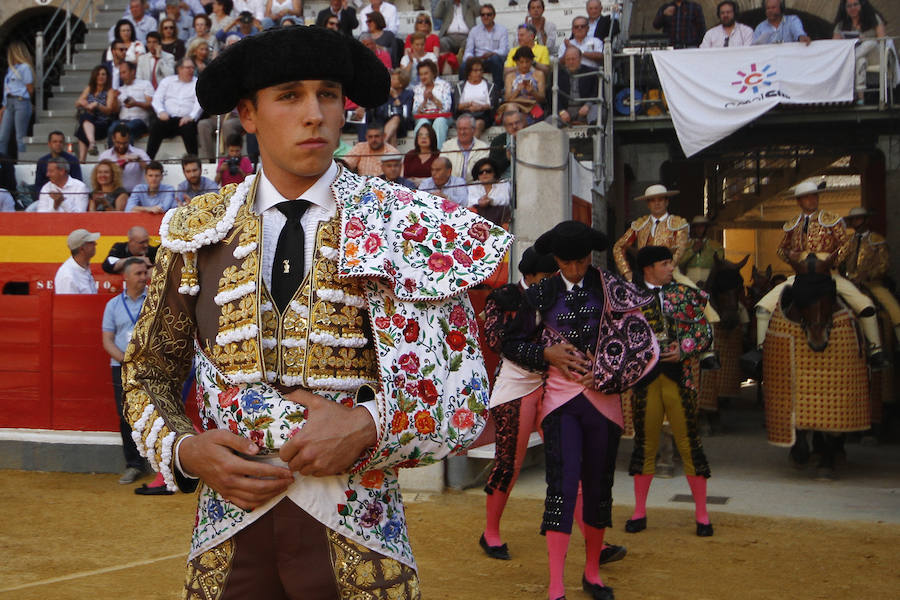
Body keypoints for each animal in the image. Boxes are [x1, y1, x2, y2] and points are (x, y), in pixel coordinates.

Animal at [764, 255, 868, 480]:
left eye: (829, 295)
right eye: (800, 296)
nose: (818, 342)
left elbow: (831, 429)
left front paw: (826, 465)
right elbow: (799, 425)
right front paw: (799, 455)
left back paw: (834, 454)